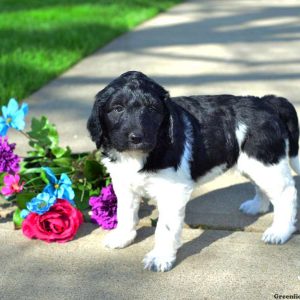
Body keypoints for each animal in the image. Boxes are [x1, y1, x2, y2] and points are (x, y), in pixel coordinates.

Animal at [86, 70, 298, 272]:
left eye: (153, 109)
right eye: (117, 108)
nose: (137, 137)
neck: (139, 155)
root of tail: (267, 102)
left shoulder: (172, 191)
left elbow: (165, 228)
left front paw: (159, 258)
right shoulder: (123, 183)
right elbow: (125, 212)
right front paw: (123, 237)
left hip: (266, 161)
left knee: (287, 194)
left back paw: (280, 231)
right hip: (254, 164)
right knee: (262, 187)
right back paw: (257, 206)